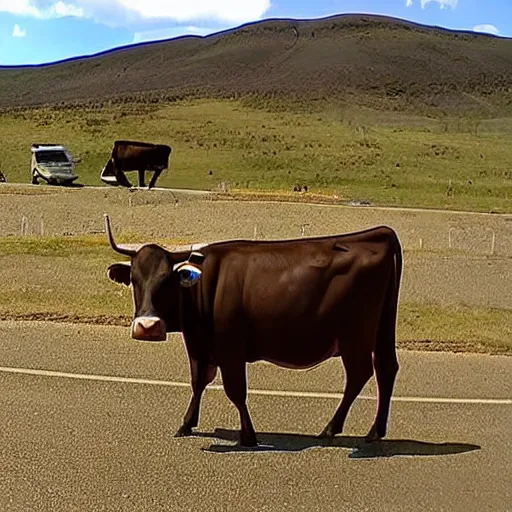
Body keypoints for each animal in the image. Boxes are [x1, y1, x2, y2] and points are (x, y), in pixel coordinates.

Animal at [105, 214, 404, 446]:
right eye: (134, 279)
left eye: (167, 280)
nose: (148, 327)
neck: (201, 285)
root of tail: (379, 233)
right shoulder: (200, 345)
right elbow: (199, 381)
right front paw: (187, 424)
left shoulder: (230, 349)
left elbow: (235, 391)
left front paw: (248, 435)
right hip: (382, 328)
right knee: (386, 368)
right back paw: (375, 431)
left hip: (355, 337)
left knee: (359, 375)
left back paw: (332, 428)